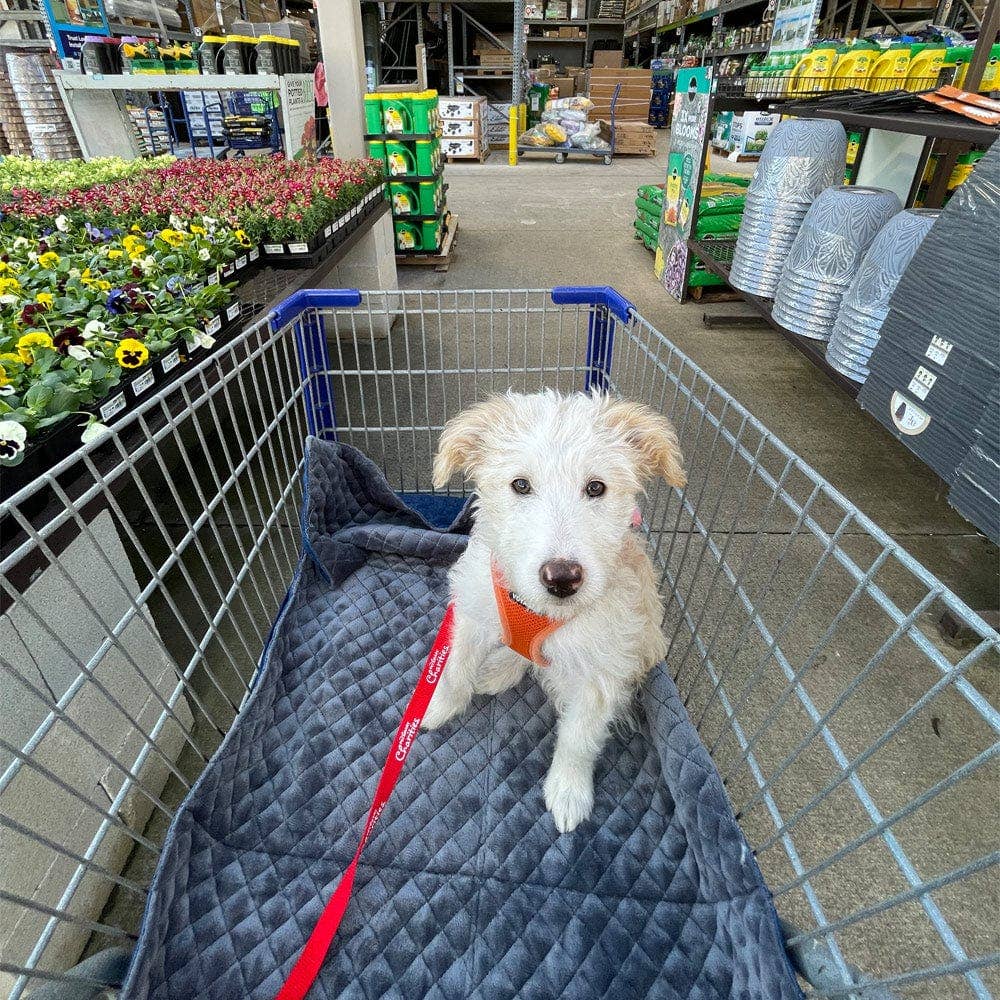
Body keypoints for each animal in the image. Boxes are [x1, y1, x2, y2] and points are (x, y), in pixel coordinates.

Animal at [423, 390, 686, 832]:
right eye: (520, 485)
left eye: (596, 487)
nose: (562, 577)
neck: (538, 608)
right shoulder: (474, 609)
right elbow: (457, 665)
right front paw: (438, 707)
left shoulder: (600, 672)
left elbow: (578, 738)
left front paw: (568, 791)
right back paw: (498, 670)